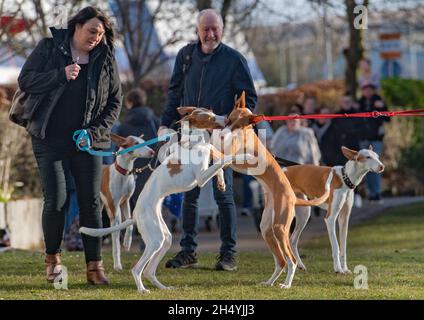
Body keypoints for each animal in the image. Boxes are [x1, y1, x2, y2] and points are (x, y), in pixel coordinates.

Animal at [100, 134, 155, 272]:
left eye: (144, 141)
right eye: (136, 143)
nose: (152, 152)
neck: (123, 173)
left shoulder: (126, 202)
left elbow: (129, 225)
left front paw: (127, 243)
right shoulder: (114, 210)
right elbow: (116, 244)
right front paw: (117, 265)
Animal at [284, 146, 384, 274]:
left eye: (377, 157)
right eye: (368, 157)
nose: (382, 166)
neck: (345, 179)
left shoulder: (344, 219)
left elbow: (343, 247)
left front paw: (345, 269)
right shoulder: (330, 218)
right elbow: (336, 246)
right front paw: (338, 269)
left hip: (304, 213)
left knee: (292, 240)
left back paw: (298, 265)